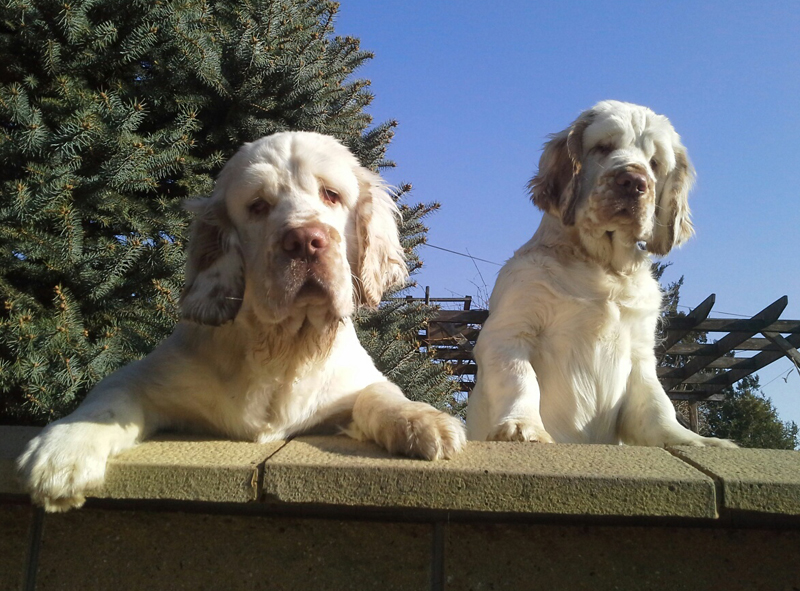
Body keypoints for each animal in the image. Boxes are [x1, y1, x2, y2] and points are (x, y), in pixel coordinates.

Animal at [18, 132, 466, 512]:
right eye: (258, 206)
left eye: (331, 195)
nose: (306, 241)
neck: (285, 346)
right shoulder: (145, 377)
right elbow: (106, 400)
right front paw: (62, 455)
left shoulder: (352, 385)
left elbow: (381, 394)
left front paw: (424, 421)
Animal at [466, 100, 736, 448]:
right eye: (603, 147)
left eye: (655, 163)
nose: (634, 182)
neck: (603, 266)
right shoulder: (510, 331)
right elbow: (520, 379)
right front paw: (523, 427)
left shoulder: (640, 352)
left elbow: (657, 406)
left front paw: (694, 441)